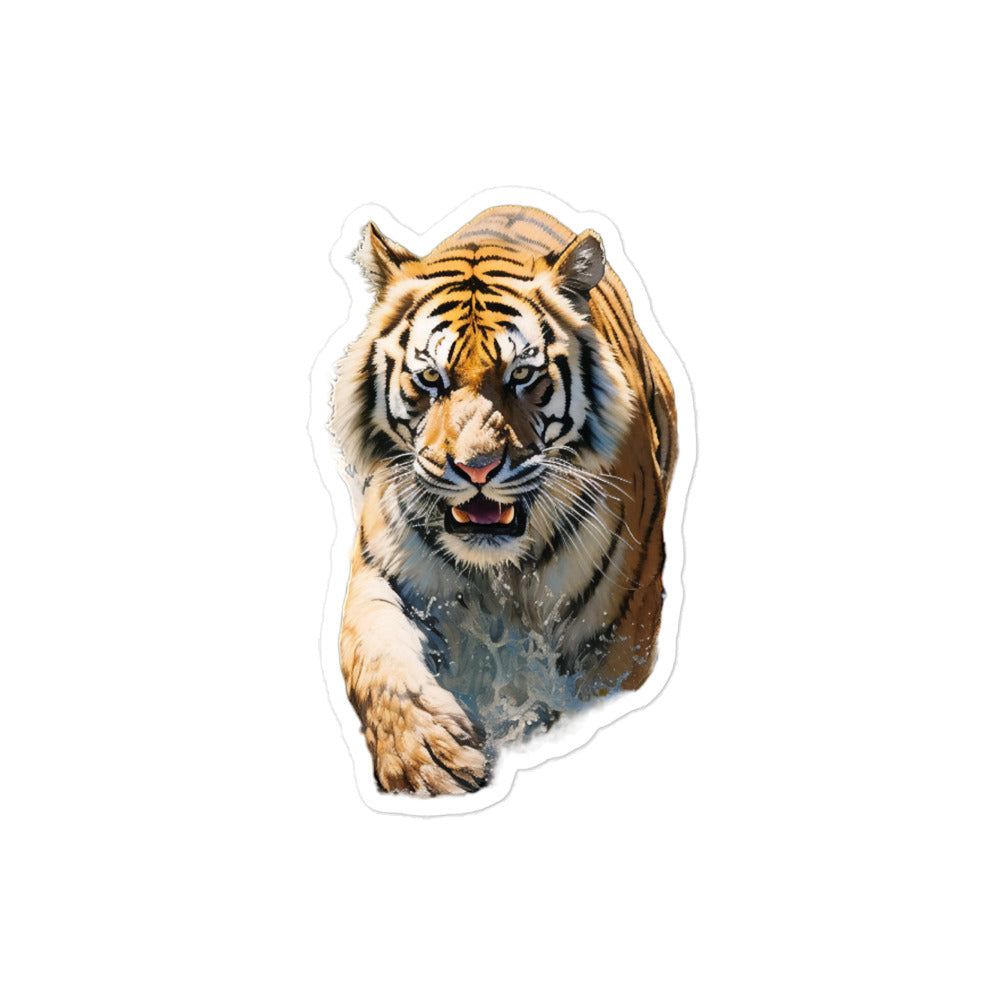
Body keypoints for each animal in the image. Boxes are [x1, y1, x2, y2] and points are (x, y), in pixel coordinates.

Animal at [330, 205, 677, 795]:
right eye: (430, 378)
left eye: (522, 375)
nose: (476, 469)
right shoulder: (383, 571)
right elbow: (373, 653)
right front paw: (426, 759)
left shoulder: (618, 629)